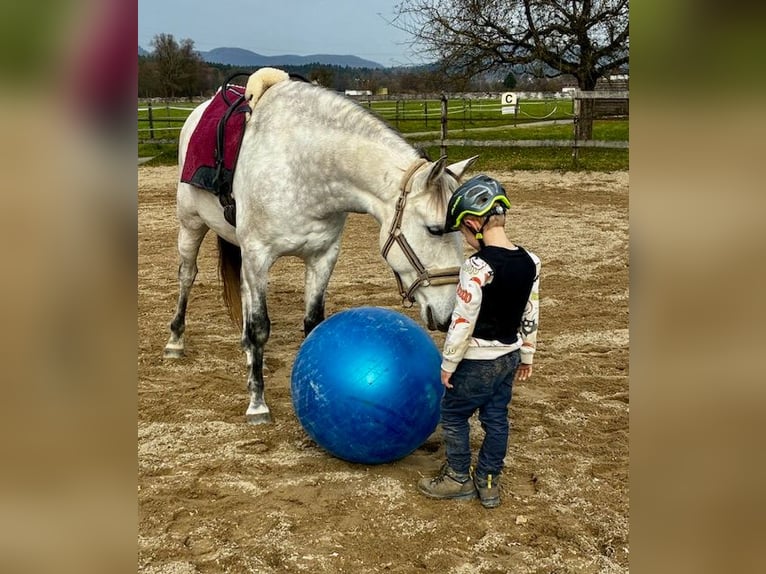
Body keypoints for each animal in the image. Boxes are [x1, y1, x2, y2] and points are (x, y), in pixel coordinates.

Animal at [164, 69, 477, 424]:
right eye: (434, 229)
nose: (449, 314)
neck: (301, 164)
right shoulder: (259, 255)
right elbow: (260, 327)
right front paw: (257, 403)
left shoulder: (322, 256)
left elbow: (312, 323)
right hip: (191, 225)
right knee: (187, 275)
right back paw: (176, 341)